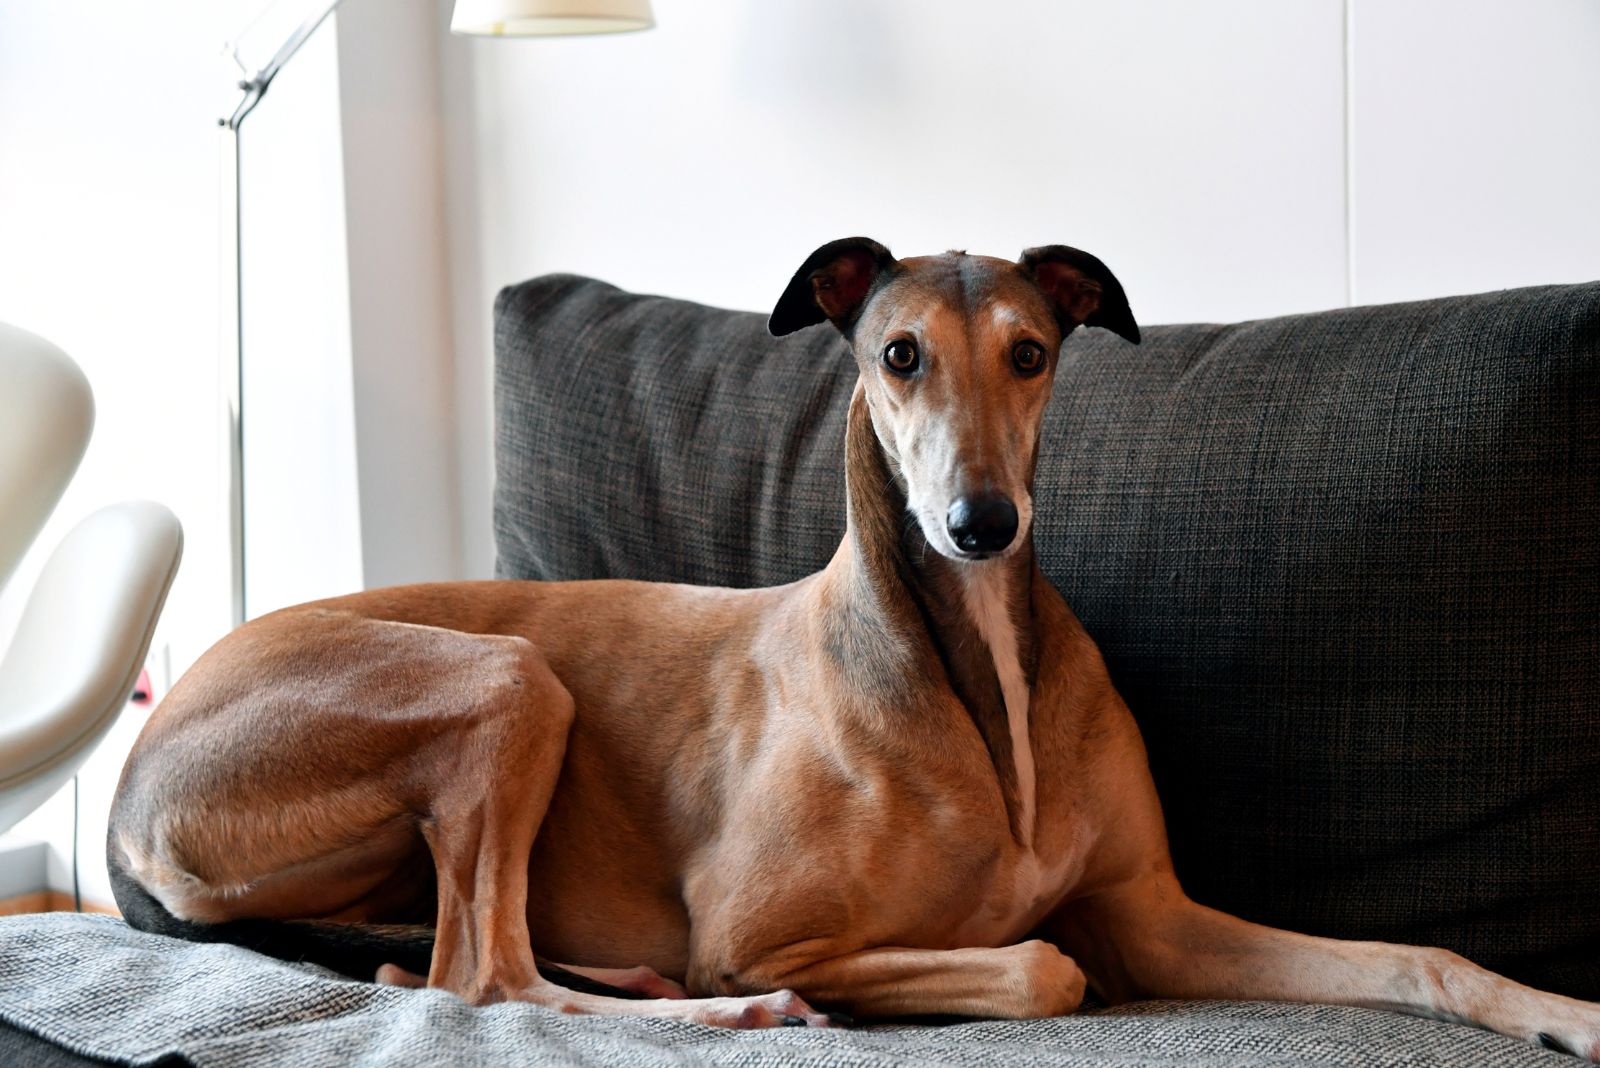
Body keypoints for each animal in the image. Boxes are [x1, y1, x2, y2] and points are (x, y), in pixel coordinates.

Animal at [109, 239, 1600, 1048]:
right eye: (896, 355)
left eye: (1031, 350)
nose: (980, 524)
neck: (974, 671)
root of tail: (129, 790)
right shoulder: (761, 926)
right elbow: (1047, 962)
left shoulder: (1156, 918)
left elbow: (1414, 956)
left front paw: (1568, 1012)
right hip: (504, 677)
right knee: (482, 974)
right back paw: (728, 1016)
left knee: (434, 960)